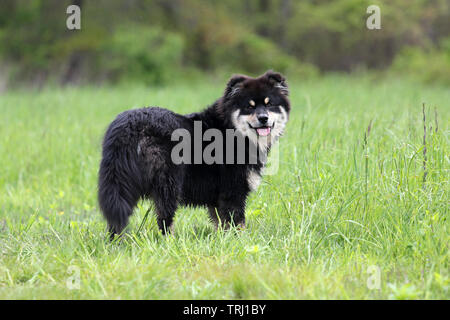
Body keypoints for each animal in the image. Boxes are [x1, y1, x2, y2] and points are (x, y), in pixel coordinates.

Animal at [96, 71, 290, 239]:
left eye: (269, 104)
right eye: (249, 107)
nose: (263, 118)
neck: (232, 129)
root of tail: (127, 127)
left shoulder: (217, 198)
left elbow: (221, 224)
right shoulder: (233, 190)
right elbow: (238, 222)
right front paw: (240, 241)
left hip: (119, 182)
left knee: (116, 217)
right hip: (168, 183)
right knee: (165, 219)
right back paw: (169, 241)